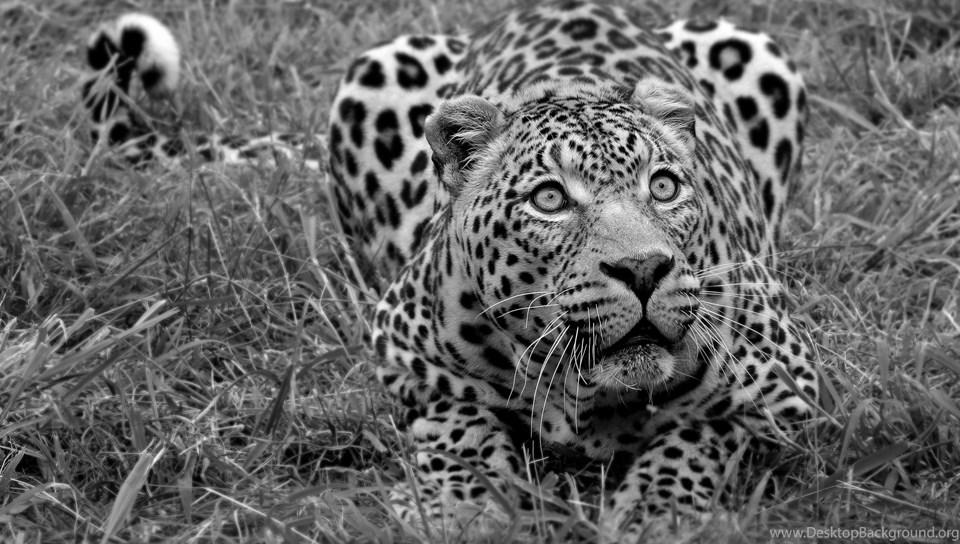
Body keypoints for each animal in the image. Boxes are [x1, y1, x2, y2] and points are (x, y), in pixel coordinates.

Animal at [327, 1, 818, 541]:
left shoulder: (786, 387)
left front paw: (656, 514)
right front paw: (459, 506)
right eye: (550, 199)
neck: (583, 390)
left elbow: (695, 437)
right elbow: (460, 423)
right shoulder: (403, 358)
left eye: (663, 187)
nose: (644, 269)